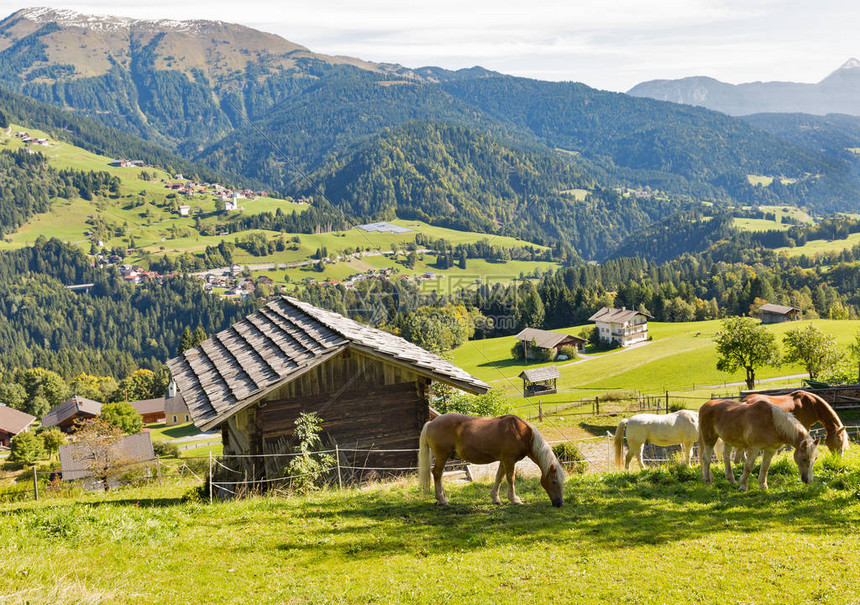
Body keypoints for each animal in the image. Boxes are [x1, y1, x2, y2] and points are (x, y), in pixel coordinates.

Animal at [416, 412, 564, 508]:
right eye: (554, 481)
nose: (559, 503)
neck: (521, 433)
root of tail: (431, 423)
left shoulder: (504, 460)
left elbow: (499, 477)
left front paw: (495, 498)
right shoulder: (509, 460)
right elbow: (510, 478)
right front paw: (514, 499)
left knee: (439, 475)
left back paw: (443, 496)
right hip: (442, 456)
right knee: (437, 474)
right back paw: (442, 499)